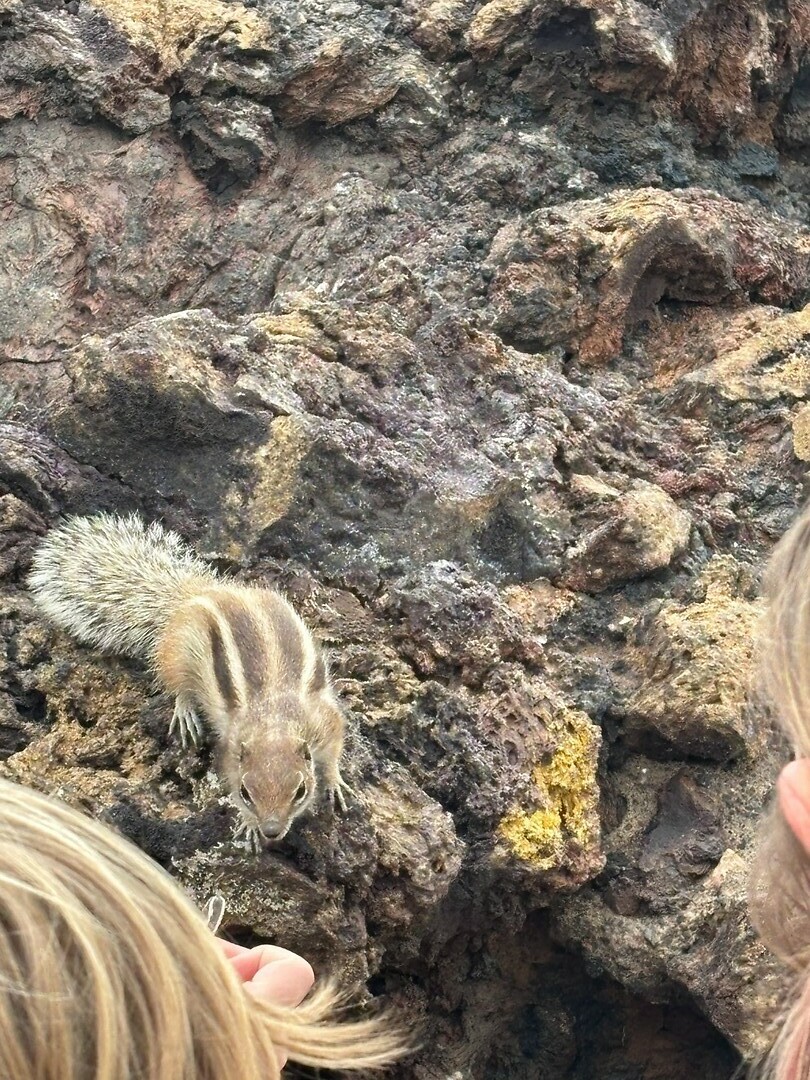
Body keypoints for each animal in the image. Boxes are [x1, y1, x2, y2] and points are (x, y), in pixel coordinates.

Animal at [28, 513, 354, 850]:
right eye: (246, 793)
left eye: (300, 790)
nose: (272, 830)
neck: (275, 723)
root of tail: (196, 592)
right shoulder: (232, 746)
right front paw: (249, 824)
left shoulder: (323, 722)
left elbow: (334, 749)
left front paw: (335, 782)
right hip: (177, 656)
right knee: (177, 686)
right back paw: (185, 712)